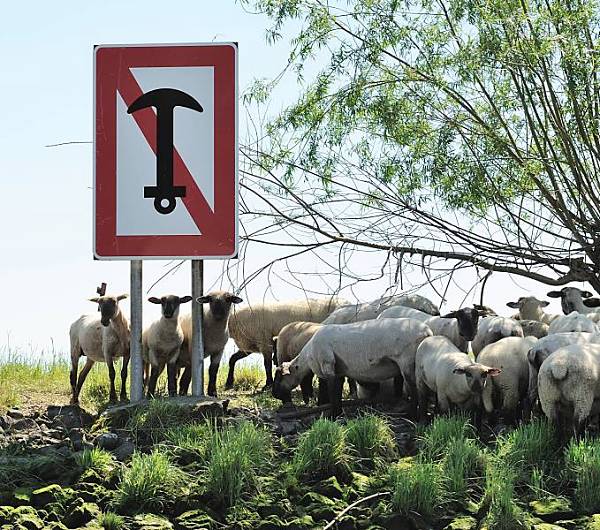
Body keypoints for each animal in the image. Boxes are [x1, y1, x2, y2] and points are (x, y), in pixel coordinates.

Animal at [270, 316, 432, 414]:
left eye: (280, 377)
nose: (274, 394)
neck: (308, 355)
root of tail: (427, 332)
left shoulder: (327, 364)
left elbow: (332, 392)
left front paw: (332, 415)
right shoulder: (339, 370)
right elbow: (337, 391)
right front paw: (338, 413)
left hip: (406, 361)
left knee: (414, 389)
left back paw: (411, 413)